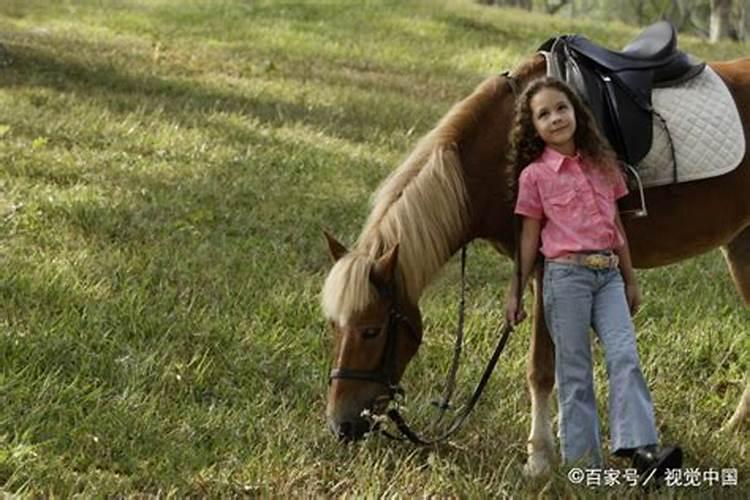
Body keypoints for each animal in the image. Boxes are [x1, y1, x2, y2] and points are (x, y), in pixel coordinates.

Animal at [320, 51, 748, 476]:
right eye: (334, 326)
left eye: (372, 330)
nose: (341, 425)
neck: (502, 151)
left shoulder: (545, 270)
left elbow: (540, 369)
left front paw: (539, 457)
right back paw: (735, 425)